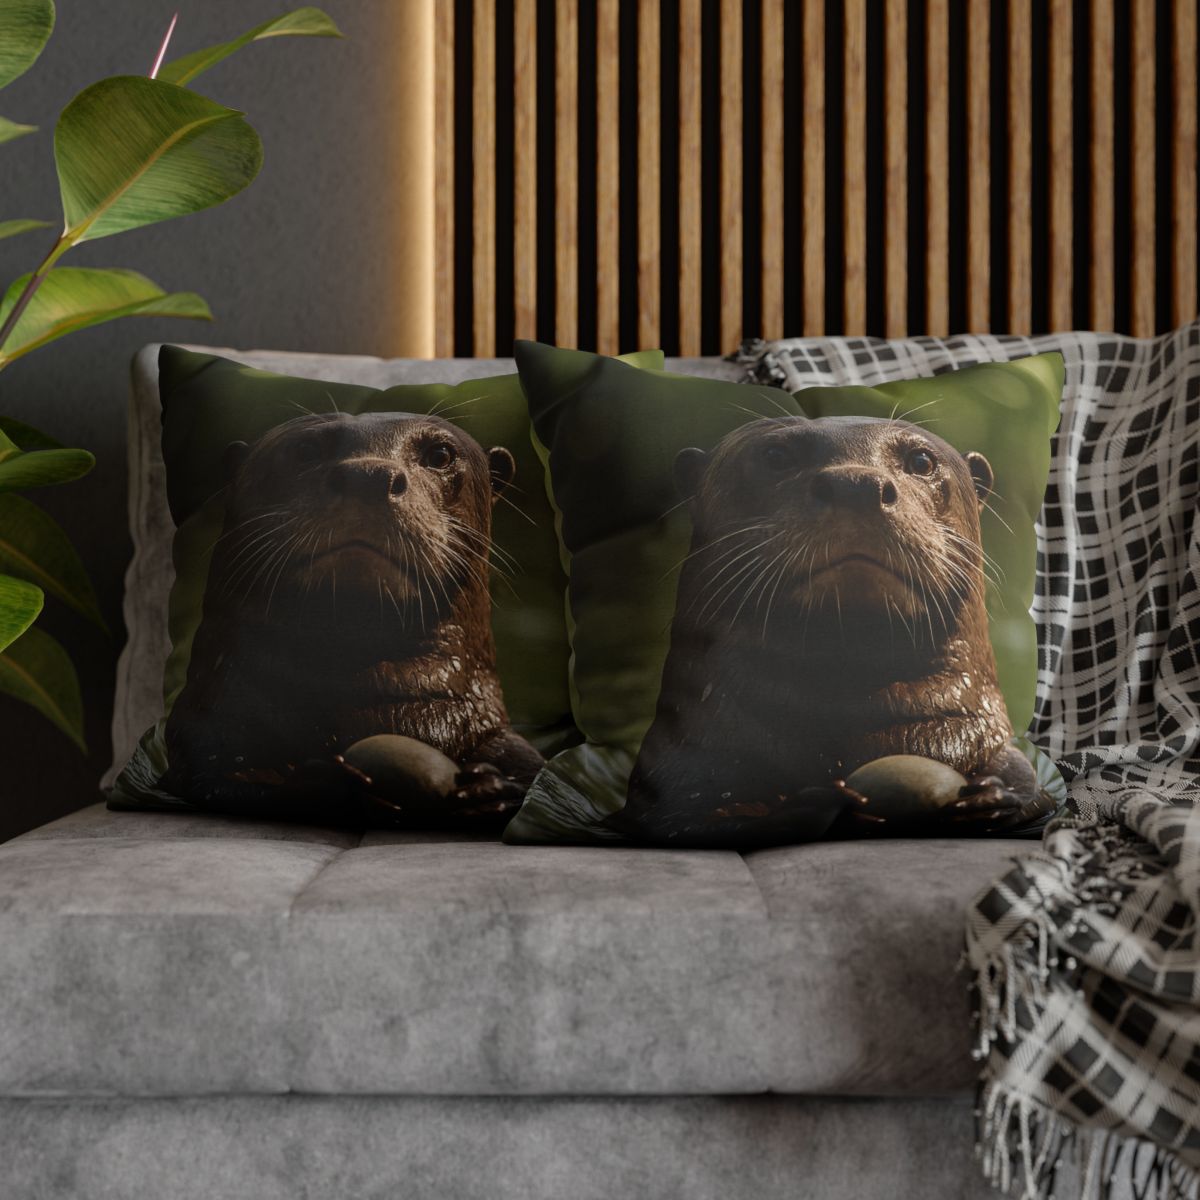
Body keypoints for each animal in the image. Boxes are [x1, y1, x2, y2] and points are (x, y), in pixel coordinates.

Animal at [163, 411, 543, 826]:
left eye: (440, 454)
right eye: (306, 449)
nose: (369, 476)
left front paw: (487, 790)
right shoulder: (207, 732)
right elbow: (224, 780)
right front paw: (324, 784)